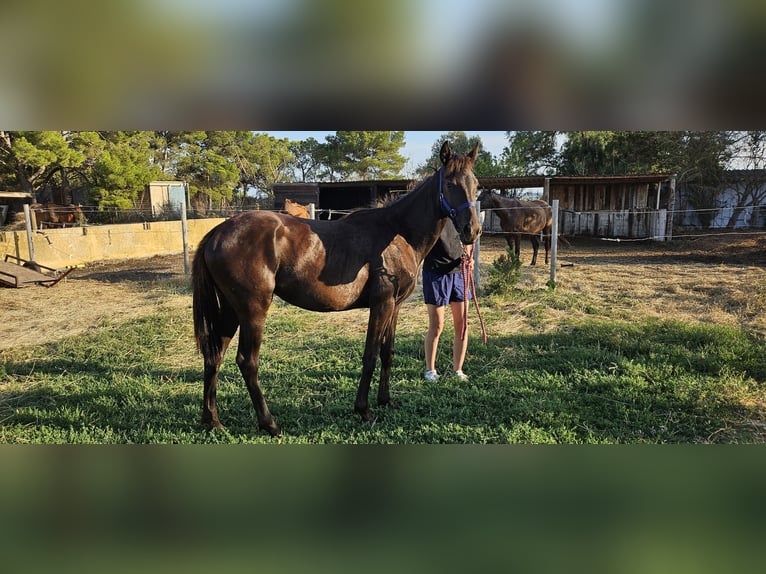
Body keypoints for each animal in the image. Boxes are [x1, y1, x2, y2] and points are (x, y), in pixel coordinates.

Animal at [192, 141, 480, 436]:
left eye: (476, 184)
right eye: (450, 183)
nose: (472, 230)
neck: (397, 233)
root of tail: (218, 232)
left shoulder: (395, 306)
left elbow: (387, 353)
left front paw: (385, 401)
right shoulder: (382, 304)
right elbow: (370, 355)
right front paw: (363, 410)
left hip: (231, 311)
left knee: (214, 356)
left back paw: (212, 420)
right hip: (253, 311)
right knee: (247, 361)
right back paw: (269, 423)